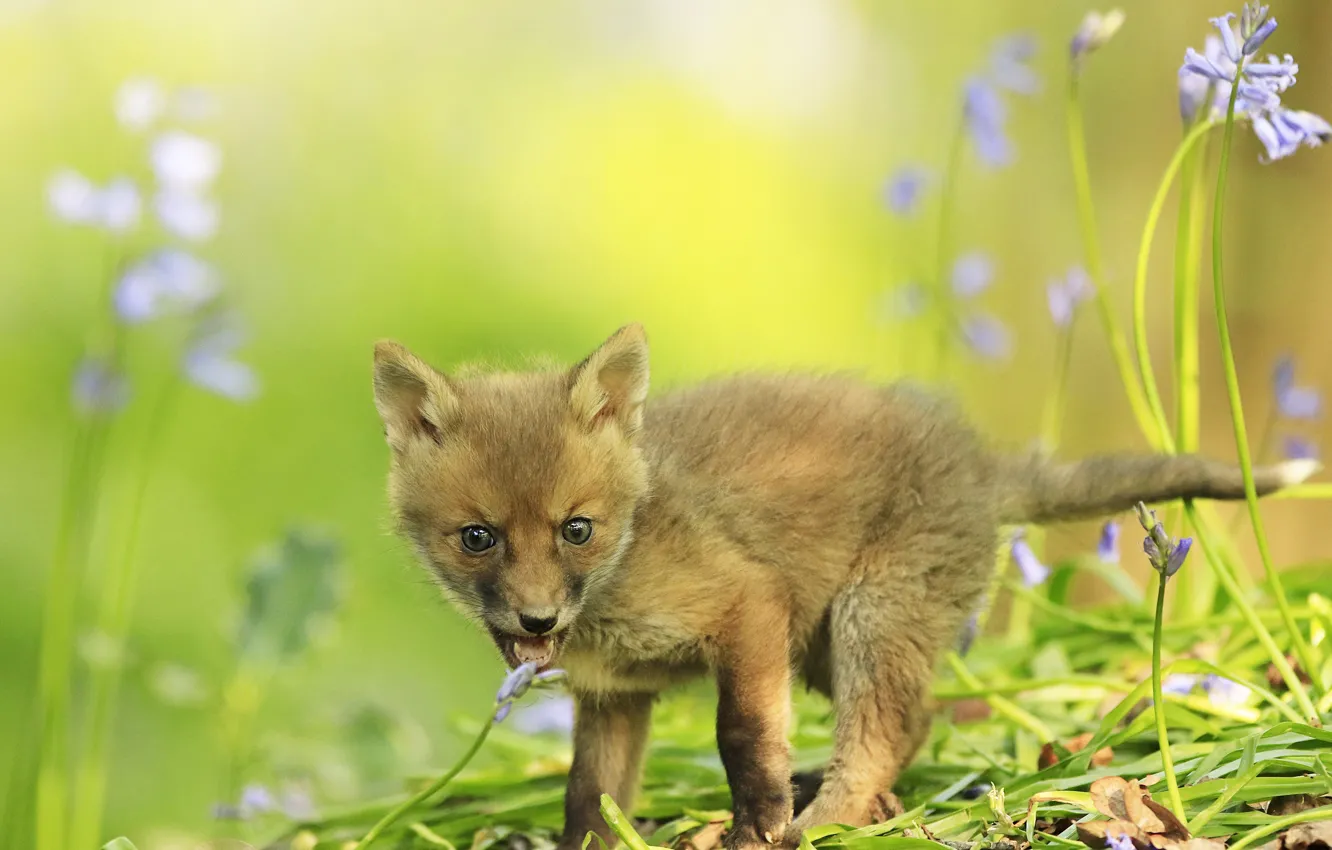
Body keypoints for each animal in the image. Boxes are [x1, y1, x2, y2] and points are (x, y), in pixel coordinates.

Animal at [371, 324, 1317, 850]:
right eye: (478, 539)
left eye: (577, 529)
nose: (536, 621)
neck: (629, 554)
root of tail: (981, 465)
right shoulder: (614, 698)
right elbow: (588, 796)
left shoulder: (748, 608)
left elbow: (741, 734)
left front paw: (756, 828)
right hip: (829, 647)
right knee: (916, 720)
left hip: (866, 617)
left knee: (884, 729)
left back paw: (826, 820)